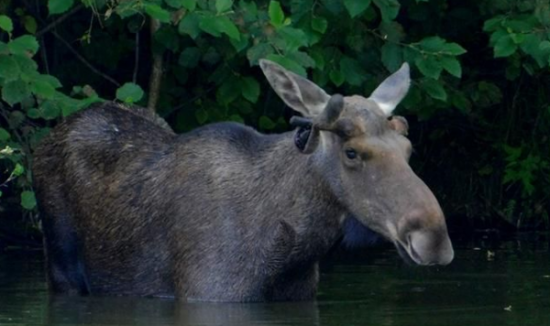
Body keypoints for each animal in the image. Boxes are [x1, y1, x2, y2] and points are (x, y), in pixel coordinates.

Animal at [35, 59, 458, 302]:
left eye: (407, 147)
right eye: (351, 152)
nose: (434, 237)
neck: (292, 250)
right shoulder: (208, 294)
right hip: (61, 265)